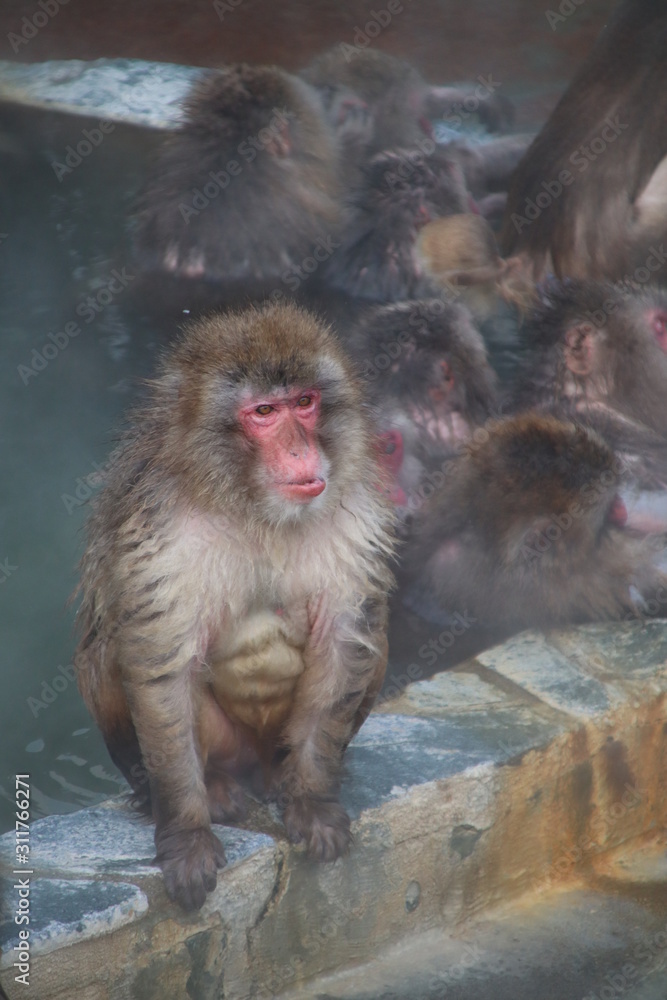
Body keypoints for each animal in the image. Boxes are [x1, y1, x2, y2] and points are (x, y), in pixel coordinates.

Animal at [73, 302, 395, 911]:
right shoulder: (163, 533)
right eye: (263, 412)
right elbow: (163, 664)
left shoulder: (352, 518)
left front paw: (312, 800)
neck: (254, 508)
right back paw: (204, 791)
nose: (299, 450)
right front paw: (186, 834)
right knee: (109, 647)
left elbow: (344, 639)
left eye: (304, 402)